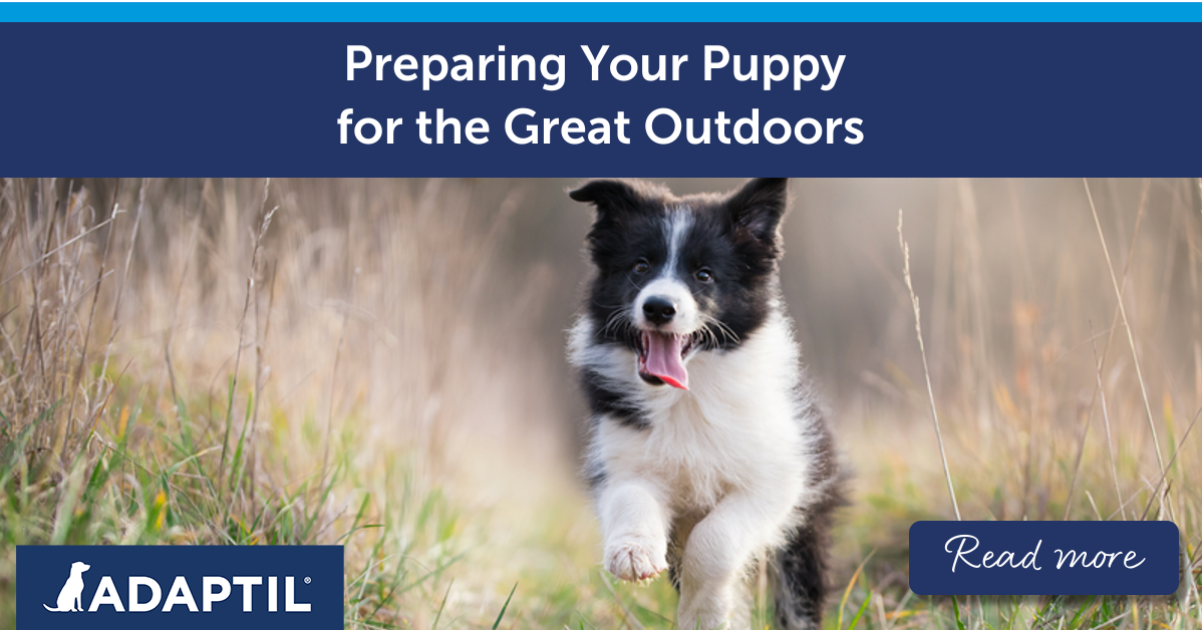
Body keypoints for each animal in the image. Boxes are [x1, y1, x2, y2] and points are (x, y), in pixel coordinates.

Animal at [564, 176, 841, 630]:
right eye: (640, 266)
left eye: (704, 274)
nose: (659, 307)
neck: (686, 394)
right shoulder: (622, 453)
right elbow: (631, 495)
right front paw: (633, 551)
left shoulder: (778, 480)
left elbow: (715, 540)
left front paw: (704, 611)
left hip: (806, 526)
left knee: (798, 594)